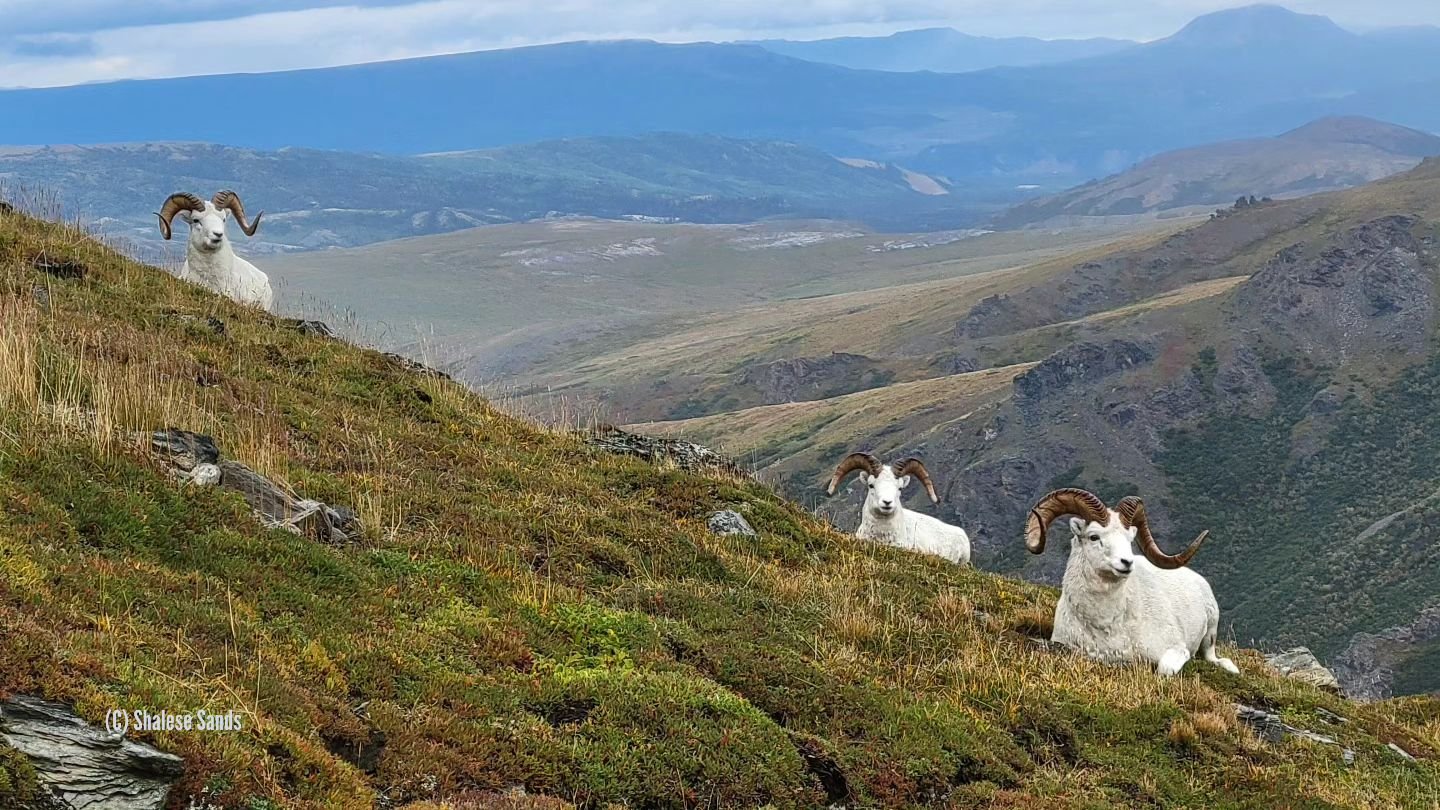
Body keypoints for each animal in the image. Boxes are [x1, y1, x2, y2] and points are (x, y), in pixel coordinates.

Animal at [1025, 484, 1238, 674]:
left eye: (1129, 538)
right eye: (1094, 537)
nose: (1127, 562)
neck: (1105, 624)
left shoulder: (1177, 649)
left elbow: (1165, 670)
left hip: (1211, 630)